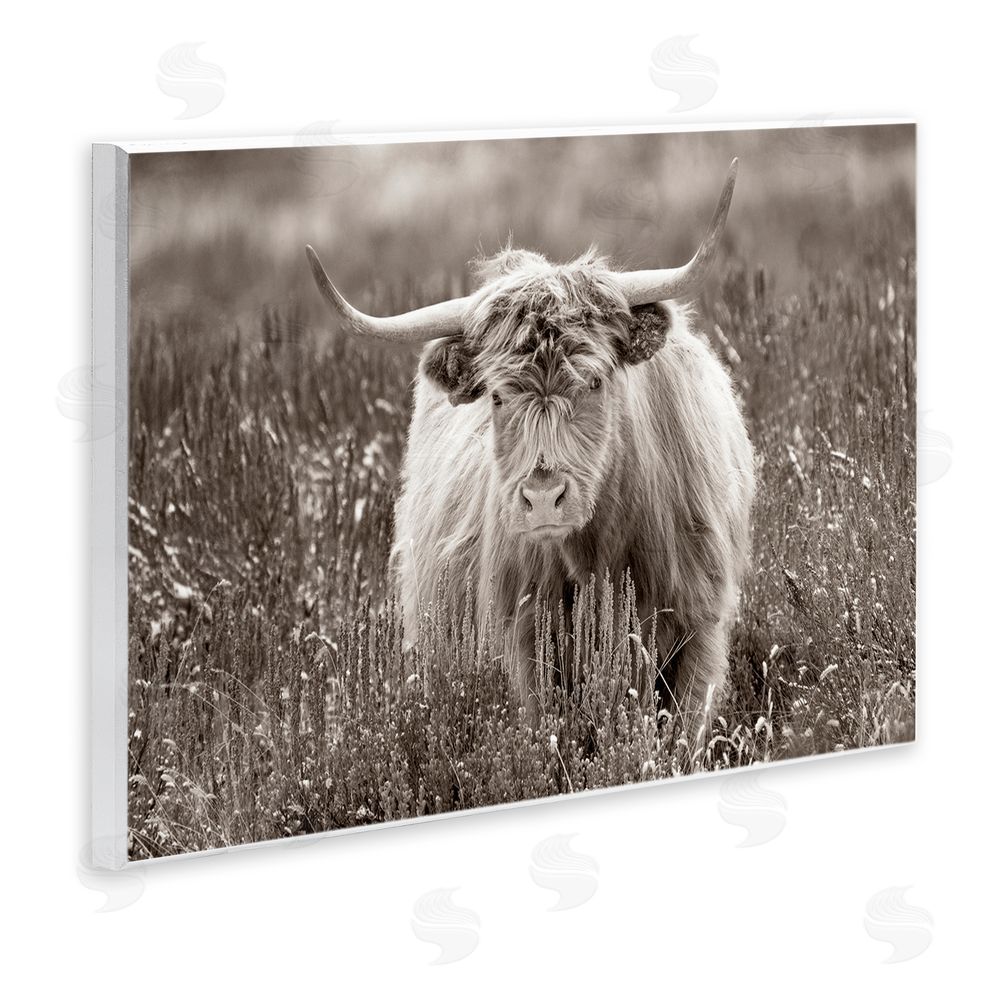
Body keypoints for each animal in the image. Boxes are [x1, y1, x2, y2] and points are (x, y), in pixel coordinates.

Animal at [305, 158, 754, 740]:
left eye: (595, 381)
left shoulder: (700, 623)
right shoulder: (524, 640)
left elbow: (682, 731)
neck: (599, 556)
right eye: (498, 396)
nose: (543, 498)